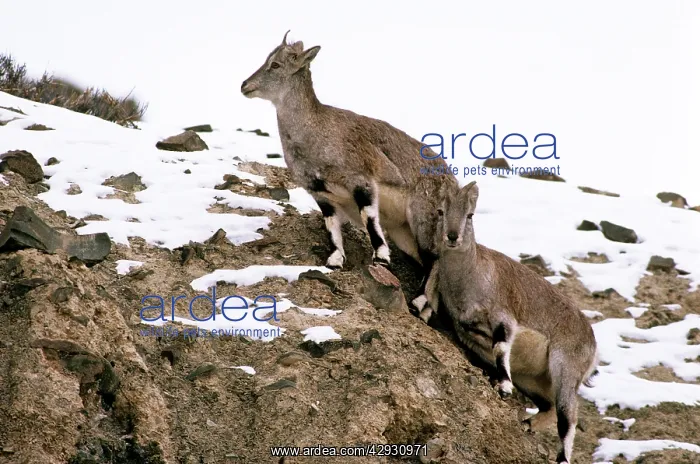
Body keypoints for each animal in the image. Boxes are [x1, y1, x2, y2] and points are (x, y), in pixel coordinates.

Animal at [240, 31, 459, 305]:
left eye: (276, 64)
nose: (245, 85)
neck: (316, 133)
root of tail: (452, 181)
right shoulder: (320, 193)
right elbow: (332, 226)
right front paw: (335, 260)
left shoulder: (361, 180)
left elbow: (369, 217)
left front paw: (381, 257)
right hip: (403, 232)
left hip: (424, 217)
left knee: (434, 260)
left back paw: (419, 301)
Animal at [435, 180, 598, 464]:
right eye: (441, 211)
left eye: (470, 215)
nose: (453, 237)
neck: (470, 277)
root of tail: (592, 341)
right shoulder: (466, 327)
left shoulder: (504, 316)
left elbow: (501, 346)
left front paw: (504, 387)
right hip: (532, 379)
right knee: (550, 407)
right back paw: (526, 425)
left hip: (565, 367)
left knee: (568, 415)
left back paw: (561, 456)